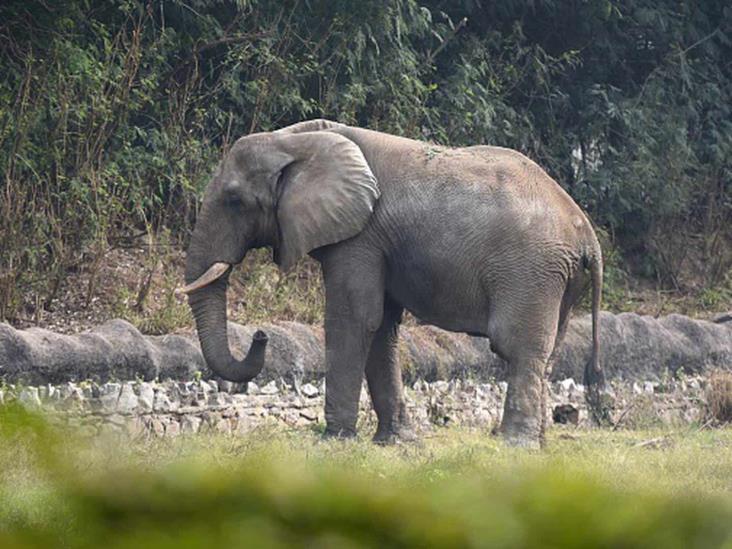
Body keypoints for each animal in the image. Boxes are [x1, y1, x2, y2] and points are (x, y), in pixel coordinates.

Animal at [182, 119, 608, 446]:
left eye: (234, 201)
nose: (261, 335)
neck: (296, 138)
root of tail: (586, 232)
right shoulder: (377, 243)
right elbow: (381, 326)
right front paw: (396, 442)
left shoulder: (361, 237)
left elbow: (354, 318)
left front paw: (333, 441)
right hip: (557, 278)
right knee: (547, 353)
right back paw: (537, 444)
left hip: (531, 270)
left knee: (517, 348)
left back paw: (512, 445)